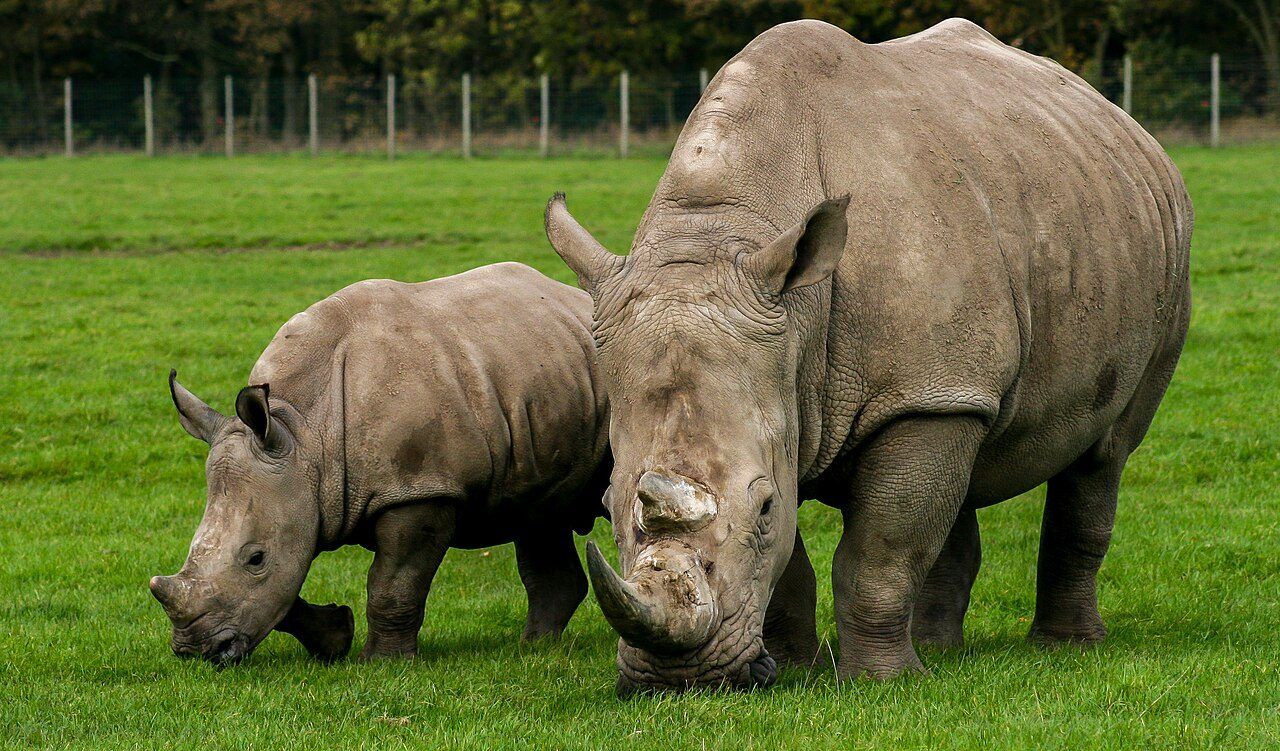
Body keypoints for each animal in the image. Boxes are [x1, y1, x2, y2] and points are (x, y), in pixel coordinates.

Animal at [150, 262, 610, 664]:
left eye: (255, 559)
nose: (196, 650)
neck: (303, 430)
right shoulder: (296, 490)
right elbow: (286, 584)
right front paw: (336, 636)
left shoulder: (418, 490)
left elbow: (393, 585)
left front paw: (382, 663)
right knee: (541, 513)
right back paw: (535, 648)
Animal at [546, 19, 1192, 694]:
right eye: (605, 505)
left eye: (763, 506)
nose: (678, 678)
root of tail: (1122, 121)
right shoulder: (822, 391)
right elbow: (800, 562)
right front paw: (793, 667)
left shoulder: (920, 393)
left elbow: (880, 551)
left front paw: (883, 682)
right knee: (963, 463)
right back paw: (940, 649)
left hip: (1162, 254)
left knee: (1105, 452)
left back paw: (1065, 647)